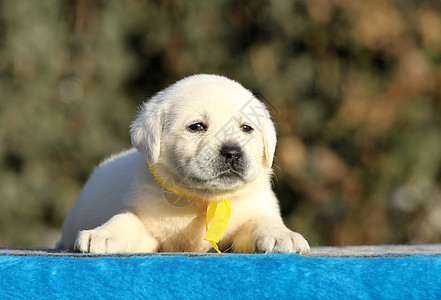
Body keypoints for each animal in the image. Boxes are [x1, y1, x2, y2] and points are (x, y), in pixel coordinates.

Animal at [58, 74, 310, 253]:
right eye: (196, 127)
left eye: (246, 128)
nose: (232, 152)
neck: (203, 200)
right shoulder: (143, 219)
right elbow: (125, 221)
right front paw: (103, 234)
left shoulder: (254, 211)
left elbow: (263, 221)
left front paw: (282, 235)